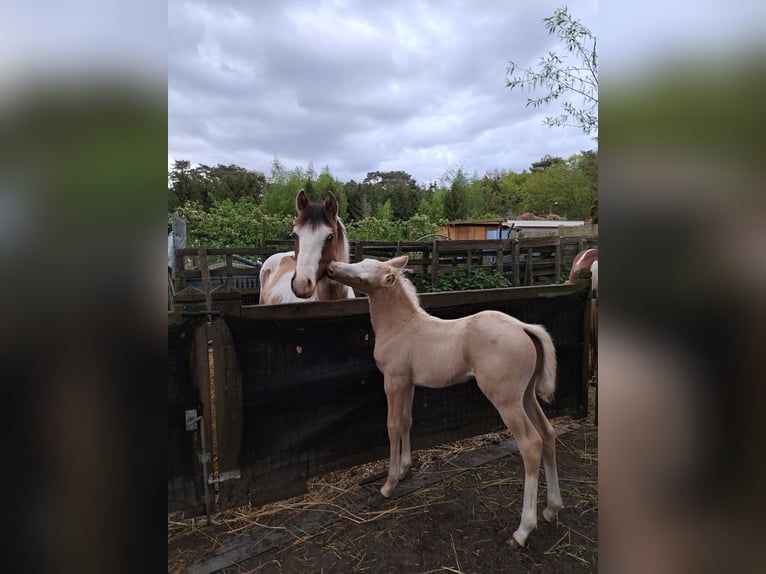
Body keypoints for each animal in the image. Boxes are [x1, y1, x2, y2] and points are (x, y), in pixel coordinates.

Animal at [328, 256, 568, 548]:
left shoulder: (394, 381)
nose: (330, 267)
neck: (401, 327)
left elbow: (393, 425)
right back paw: (552, 509)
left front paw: (388, 484)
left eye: (364, 272)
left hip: (506, 400)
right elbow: (407, 421)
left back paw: (522, 531)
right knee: (547, 434)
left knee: (531, 443)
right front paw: (405, 468)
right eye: (361, 262)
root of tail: (524, 327)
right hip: (527, 395)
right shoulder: (408, 383)